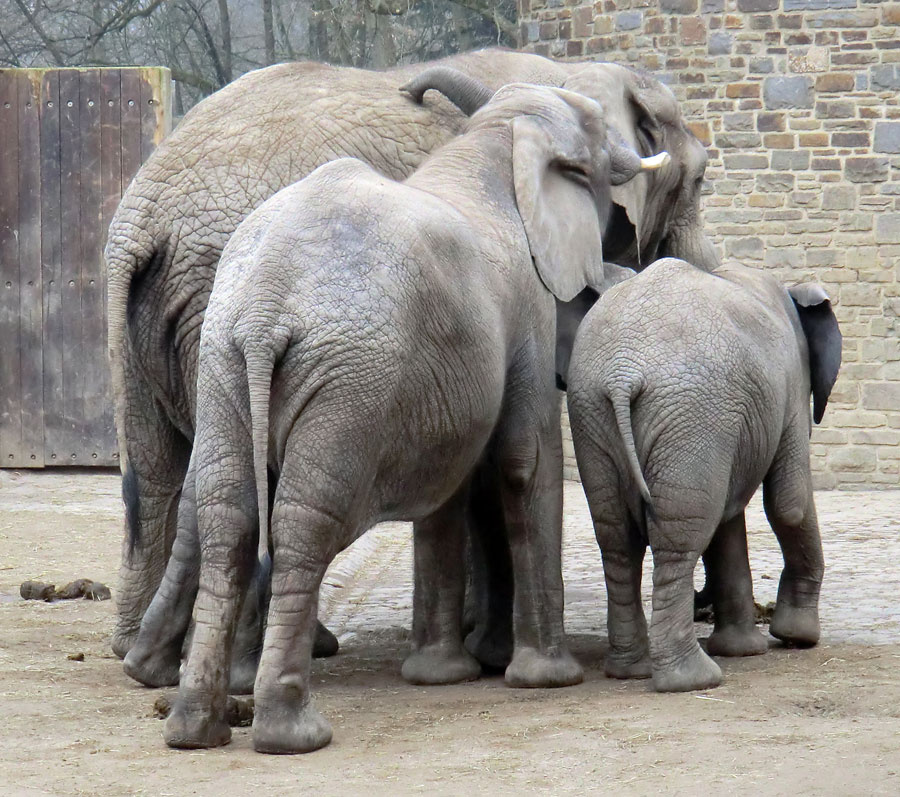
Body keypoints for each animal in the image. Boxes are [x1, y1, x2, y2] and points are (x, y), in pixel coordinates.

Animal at [105, 48, 712, 664]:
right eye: (699, 181)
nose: (705, 607)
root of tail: (139, 222)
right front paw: (485, 646)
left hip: (170, 324)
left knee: (166, 474)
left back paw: (145, 653)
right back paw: (285, 649)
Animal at [160, 84, 660, 756]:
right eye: (597, 130)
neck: (495, 137)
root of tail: (265, 310)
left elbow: (448, 481)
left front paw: (440, 677)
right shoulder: (527, 304)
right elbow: (526, 459)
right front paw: (550, 680)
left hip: (220, 362)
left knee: (229, 518)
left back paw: (195, 731)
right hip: (348, 381)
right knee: (303, 523)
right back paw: (294, 734)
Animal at [568, 256, 844, 692]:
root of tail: (622, 373)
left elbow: (728, 519)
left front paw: (744, 650)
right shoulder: (791, 388)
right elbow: (791, 503)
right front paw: (797, 638)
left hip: (594, 411)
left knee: (616, 538)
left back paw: (630, 670)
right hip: (692, 413)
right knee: (679, 539)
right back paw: (692, 680)